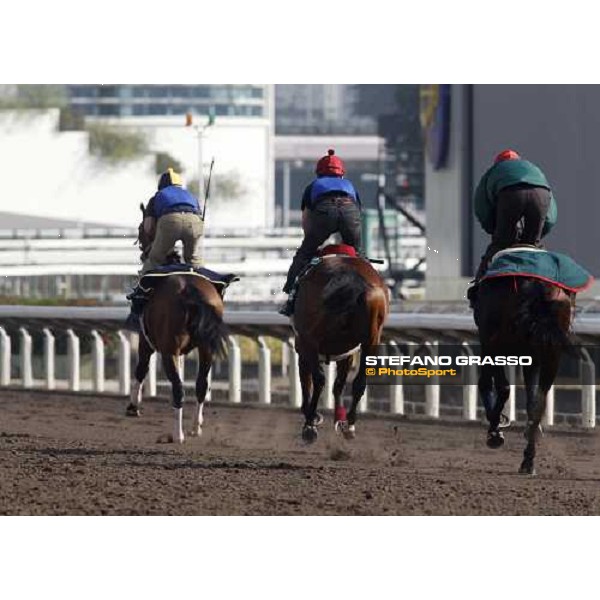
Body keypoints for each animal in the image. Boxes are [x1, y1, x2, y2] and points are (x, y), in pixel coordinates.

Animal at [126, 204, 227, 442]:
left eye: (140, 228)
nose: (142, 249)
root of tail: (190, 290)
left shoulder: (146, 342)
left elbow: (140, 369)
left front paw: (133, 406)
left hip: (168, 350)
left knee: (178, 388)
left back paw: (177, 434)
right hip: (206, 348)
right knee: (201, 384)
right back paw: (195, 428)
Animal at [292, 251, 392, 442]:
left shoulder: (303, 346)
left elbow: (307, 382)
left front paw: (312, 418)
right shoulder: (347, 353)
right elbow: (339, 384)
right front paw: (340, 419)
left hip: (310, 342)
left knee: (319, 379)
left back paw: (310, 425)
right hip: (371, 342)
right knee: (360, 382)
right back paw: (350, 424)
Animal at [476, 274, 576, 476]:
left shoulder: (490, 341)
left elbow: (491, 383)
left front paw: (496, 428)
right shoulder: (533, 356)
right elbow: (532, 401)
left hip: (498, 341)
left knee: (503, 387)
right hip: (553, 353)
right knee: (539, 403)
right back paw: (528, 460)